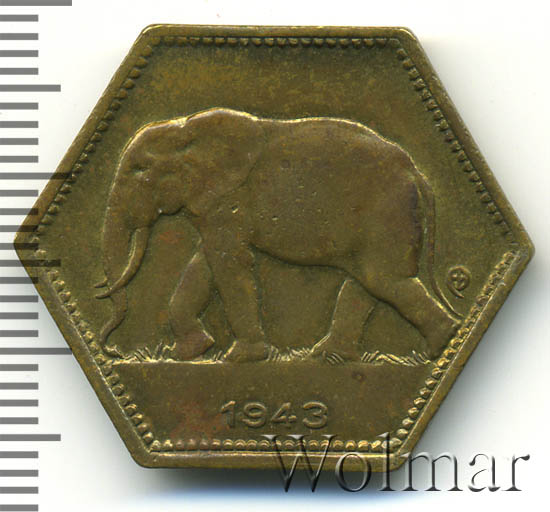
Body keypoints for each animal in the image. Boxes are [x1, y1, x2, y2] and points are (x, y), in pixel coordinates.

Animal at [95, 108, 460, 362]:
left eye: (140, 170)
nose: (114, 352)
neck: (185, 130)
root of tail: (416, 173)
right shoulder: (215, 207)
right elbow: (207, 263)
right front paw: (190, 353)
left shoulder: (229, 198)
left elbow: (228, 262)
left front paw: (241, 358)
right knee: (369, 281)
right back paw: (328, 357)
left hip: (388, 213)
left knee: (385, 280)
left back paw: (432, 351)